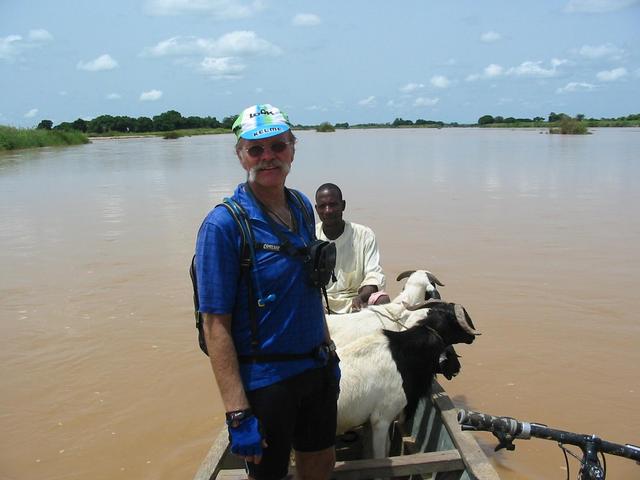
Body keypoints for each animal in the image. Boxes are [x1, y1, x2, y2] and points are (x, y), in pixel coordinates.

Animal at [336, 302, 480, 460]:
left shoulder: (370, 420)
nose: (457, 368)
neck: (403, 354)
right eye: (456, 320)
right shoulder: (382, 418)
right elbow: (381, 456)